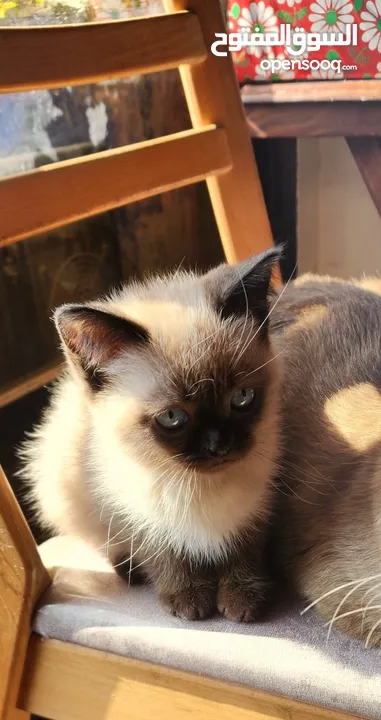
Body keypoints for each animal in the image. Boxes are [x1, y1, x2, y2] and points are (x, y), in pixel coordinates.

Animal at [21, 250, 282, 620]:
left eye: (242, 397)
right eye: (172, 417)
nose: (219, 446)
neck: (196, 486)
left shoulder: (253, 506)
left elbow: (243, 550)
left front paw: (242, 599)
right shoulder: (131, 514)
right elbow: (164, 554)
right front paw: (189, 600)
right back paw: (128, 569)